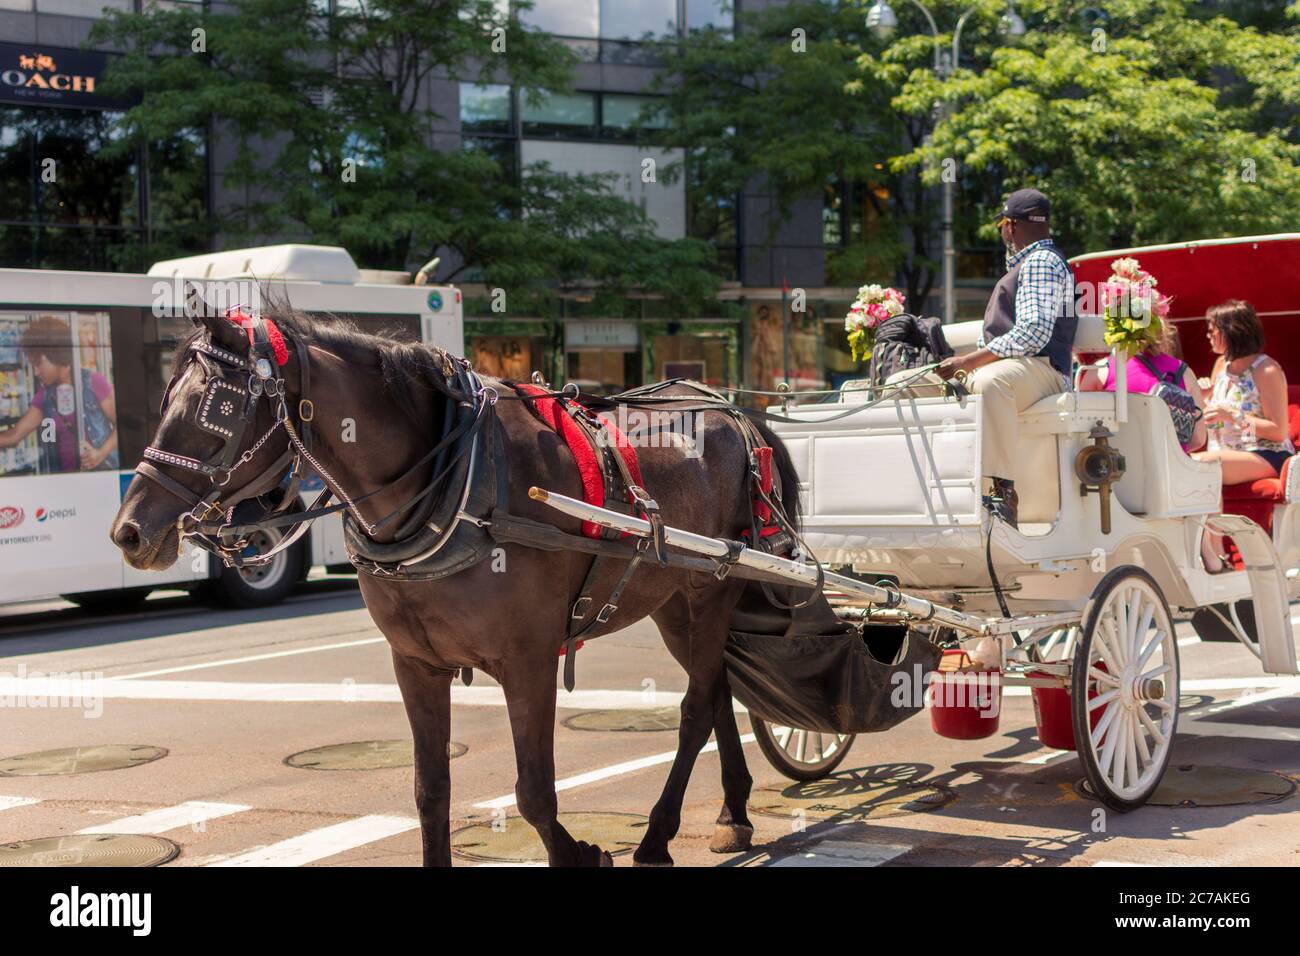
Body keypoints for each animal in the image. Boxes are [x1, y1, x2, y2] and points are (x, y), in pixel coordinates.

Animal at [109, 307, 802, 867]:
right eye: (166, 399)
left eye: (218, 411)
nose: (129, 532)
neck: (457, 481)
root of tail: (730, 408)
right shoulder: (416, 664)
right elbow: (430, 791)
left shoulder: (528, 661)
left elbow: (534, 793)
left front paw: (581, 852)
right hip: (672, 603)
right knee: (716, 693)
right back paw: (732, 814)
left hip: (712, 593)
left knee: (695, 709)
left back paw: (659, 834)